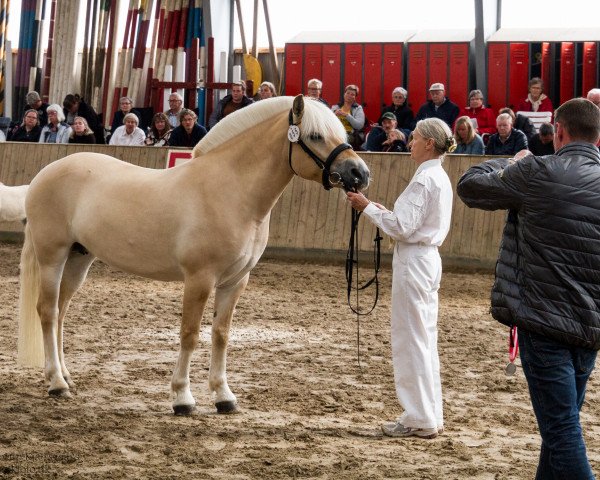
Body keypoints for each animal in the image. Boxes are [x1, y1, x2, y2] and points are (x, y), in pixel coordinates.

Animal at [17, 95, 370, 414]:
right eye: (315, 135)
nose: (360, 173)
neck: (230, 191)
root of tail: (45, 174)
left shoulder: (235, 282)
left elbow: (221, 335)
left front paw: (224, 397)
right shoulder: (200, 279)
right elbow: (190, 334)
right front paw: (182, 398)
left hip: (79, 258)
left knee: (61, 312)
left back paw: (66, 377)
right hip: (52, 257)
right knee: (47, 311)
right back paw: (56, 383)